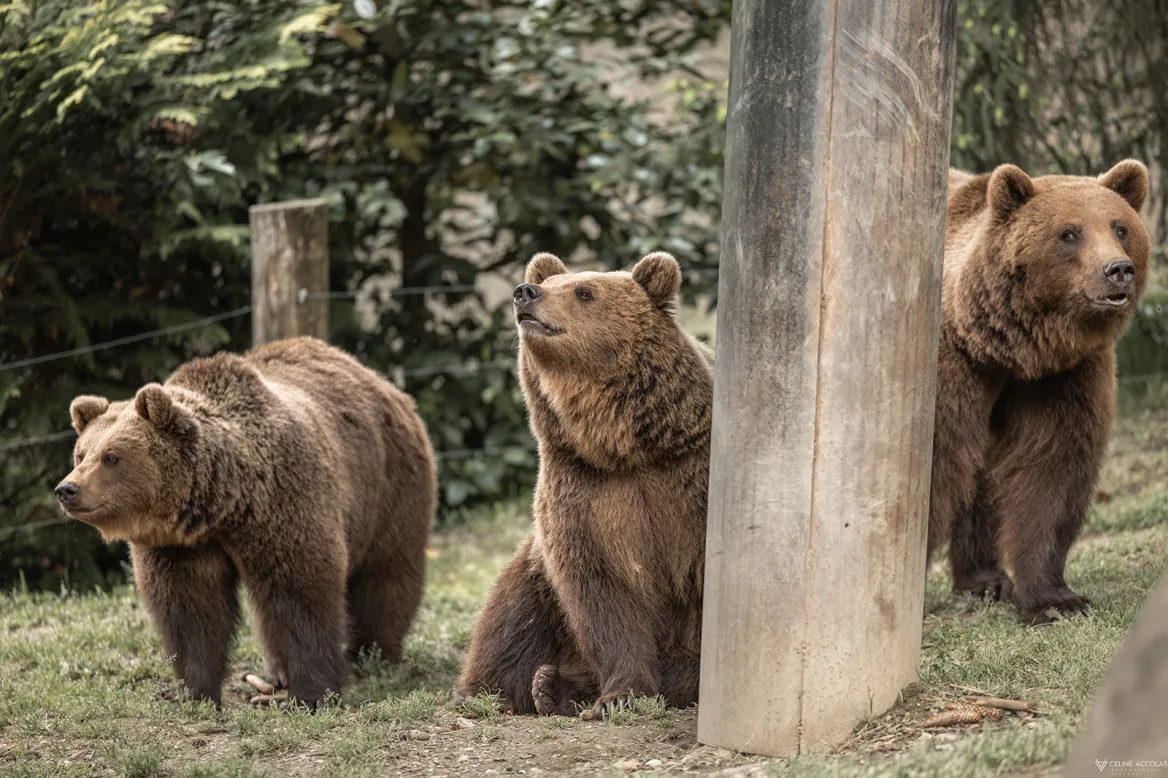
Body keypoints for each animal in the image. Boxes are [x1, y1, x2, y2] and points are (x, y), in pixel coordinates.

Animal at [53, 336, 437, 705]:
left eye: (112, 456)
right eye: (81, 453)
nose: (67, 489)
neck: (225, 503)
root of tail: (381, 381)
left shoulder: (285, 503)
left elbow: (303, 591)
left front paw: (313, 693)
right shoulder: (179, 545)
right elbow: (191, 609)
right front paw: (196, 691)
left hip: (389, 487)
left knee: (385, 574)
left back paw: (372, 654)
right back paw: (278, 670)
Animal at [456, 251, 714, 720]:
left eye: (584, 291)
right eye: (550, 282)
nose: (525, 292)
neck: (623, 449)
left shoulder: (691, 480)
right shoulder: (582, 493)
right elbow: (601, 595)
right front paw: (619, 694)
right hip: (534, 575)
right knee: (512, 619)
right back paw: (517, 688)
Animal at [928, 159, 1151, 625]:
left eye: (1120, 227)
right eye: (1069, 233)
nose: (1118, 269)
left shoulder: (1063, 378)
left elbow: (1052, 470)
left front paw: (1056, 600)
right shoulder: (952, 363)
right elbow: (935, 459)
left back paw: (985, 578)